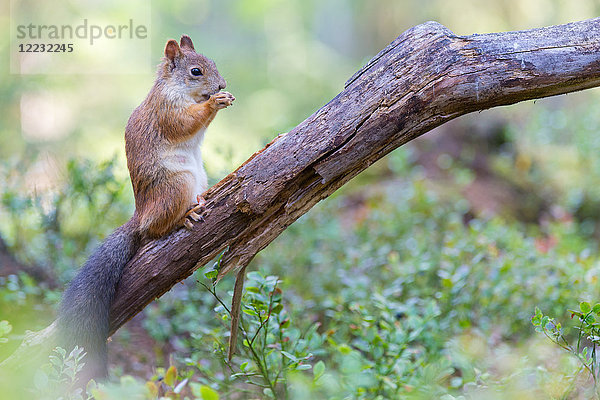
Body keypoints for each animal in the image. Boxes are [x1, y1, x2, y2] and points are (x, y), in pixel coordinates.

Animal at [56, 35, 234, 382]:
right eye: (196, 71)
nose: (221, 84)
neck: (176, 89)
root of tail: (140, 215)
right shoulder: (166, 111)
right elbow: (185, 123)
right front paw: (214, 103)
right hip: (175, 186)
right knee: (155, 229)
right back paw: (184, 217)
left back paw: (201, 199)